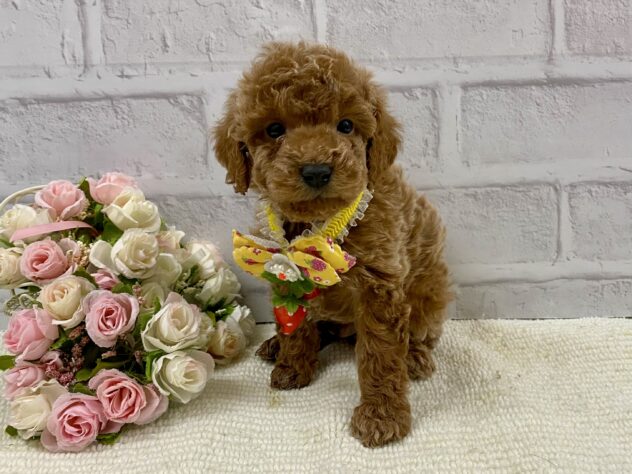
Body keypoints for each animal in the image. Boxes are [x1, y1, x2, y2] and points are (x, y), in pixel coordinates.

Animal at [213, 42, 451, 447]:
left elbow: (381, 353)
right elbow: (296, 326)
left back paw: (415, 357)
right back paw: (276, 346)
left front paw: (382, 415)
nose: (317, 170)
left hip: (429, 292)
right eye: (274, 130)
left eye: (346, 125)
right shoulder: (284, 270)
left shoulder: (380, 285)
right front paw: (292, 365)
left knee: (422, 331)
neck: (317, 226)